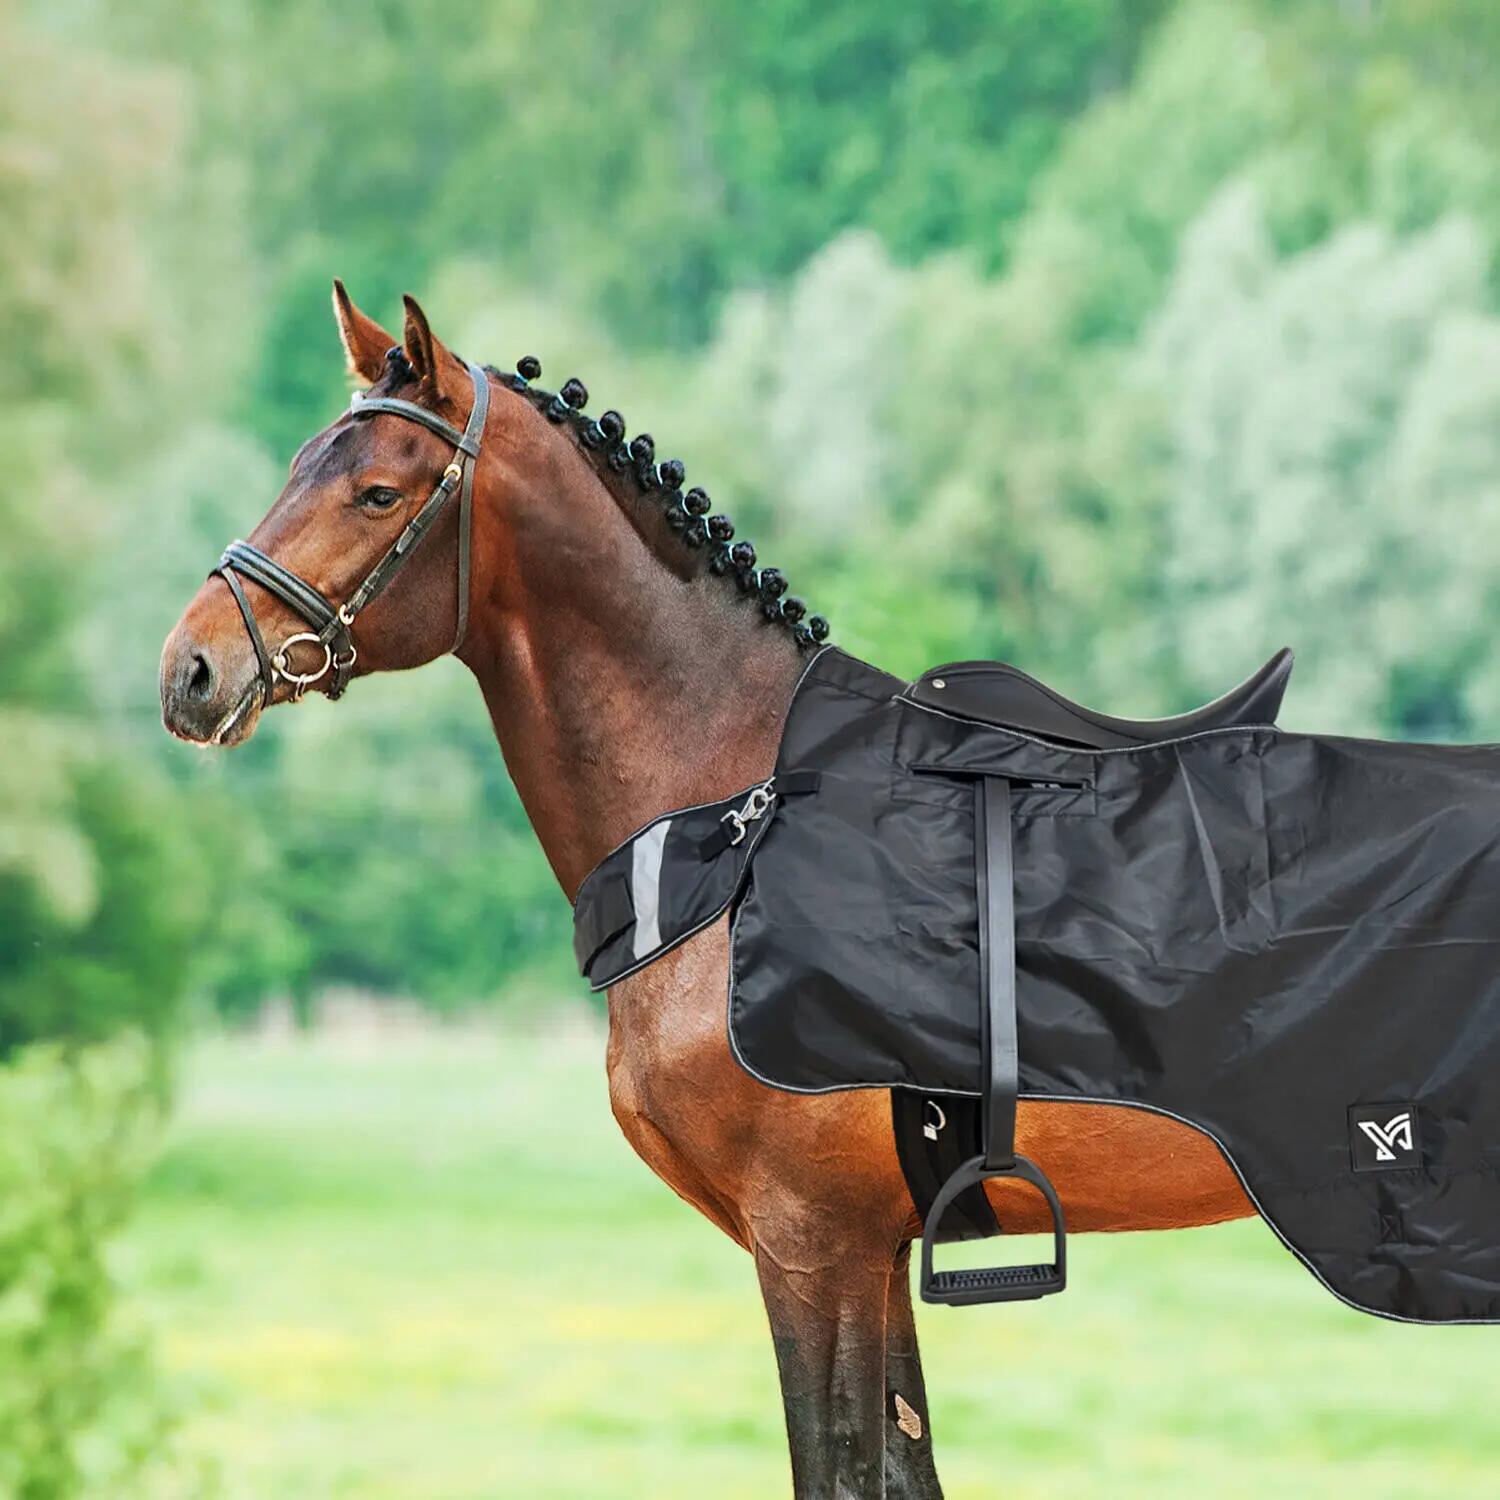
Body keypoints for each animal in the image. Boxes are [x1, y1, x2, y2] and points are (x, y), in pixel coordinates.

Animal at [160, 285, 1253, 1497]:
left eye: (378, 492)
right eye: (298, 463)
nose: (191, 669)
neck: (732, 828)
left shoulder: (815, 1243)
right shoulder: (873, 1250)